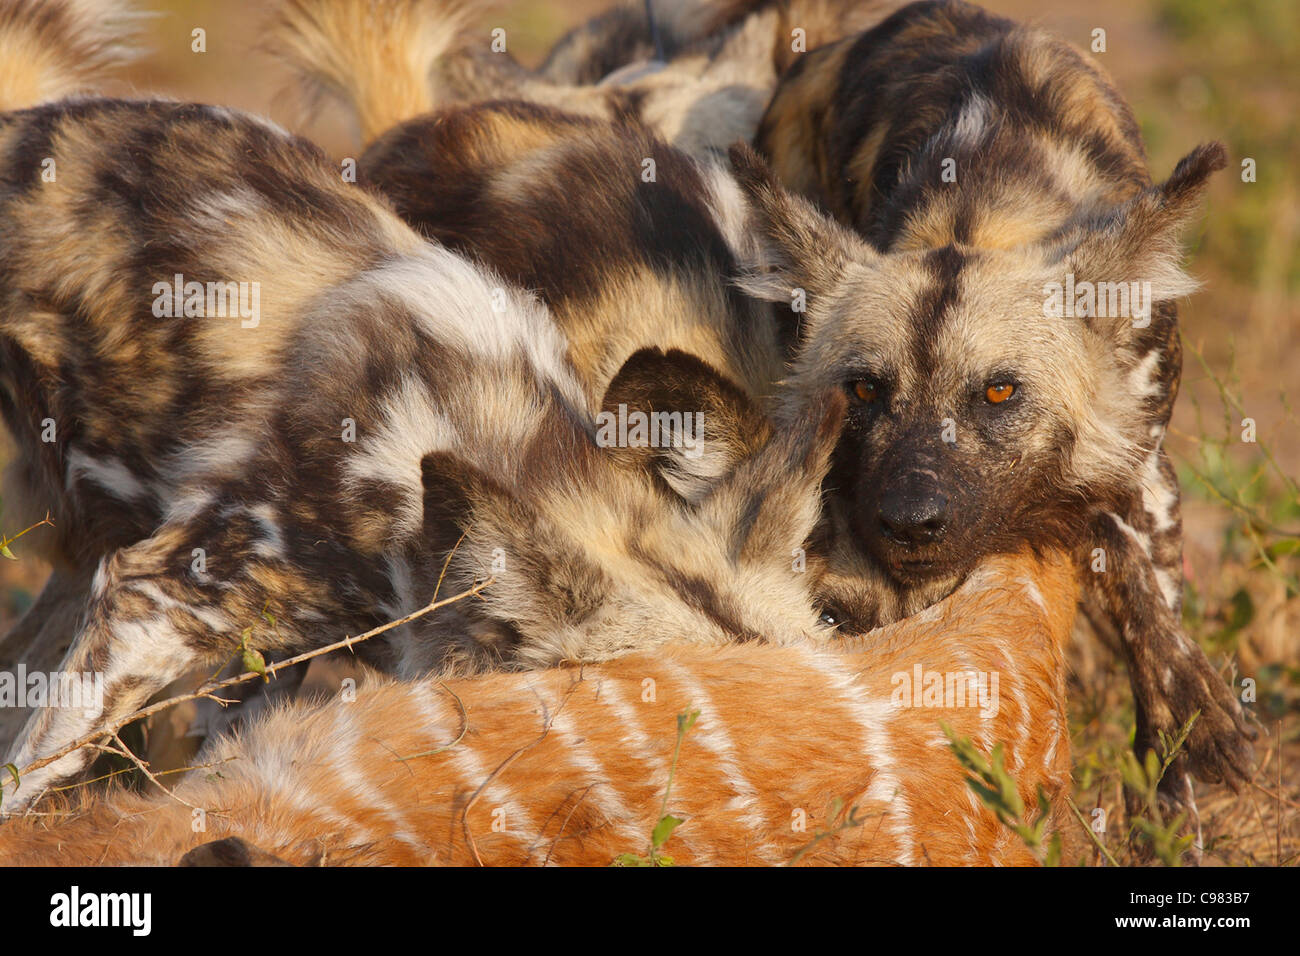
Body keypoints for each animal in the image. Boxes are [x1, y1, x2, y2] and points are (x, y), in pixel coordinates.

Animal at [748, 0, 1253, 811]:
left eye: (998, 391)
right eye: (865, 390)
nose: (910, 521)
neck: (976, 210)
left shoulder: (1142, 469)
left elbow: (1133, 565)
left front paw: (1179, 749)